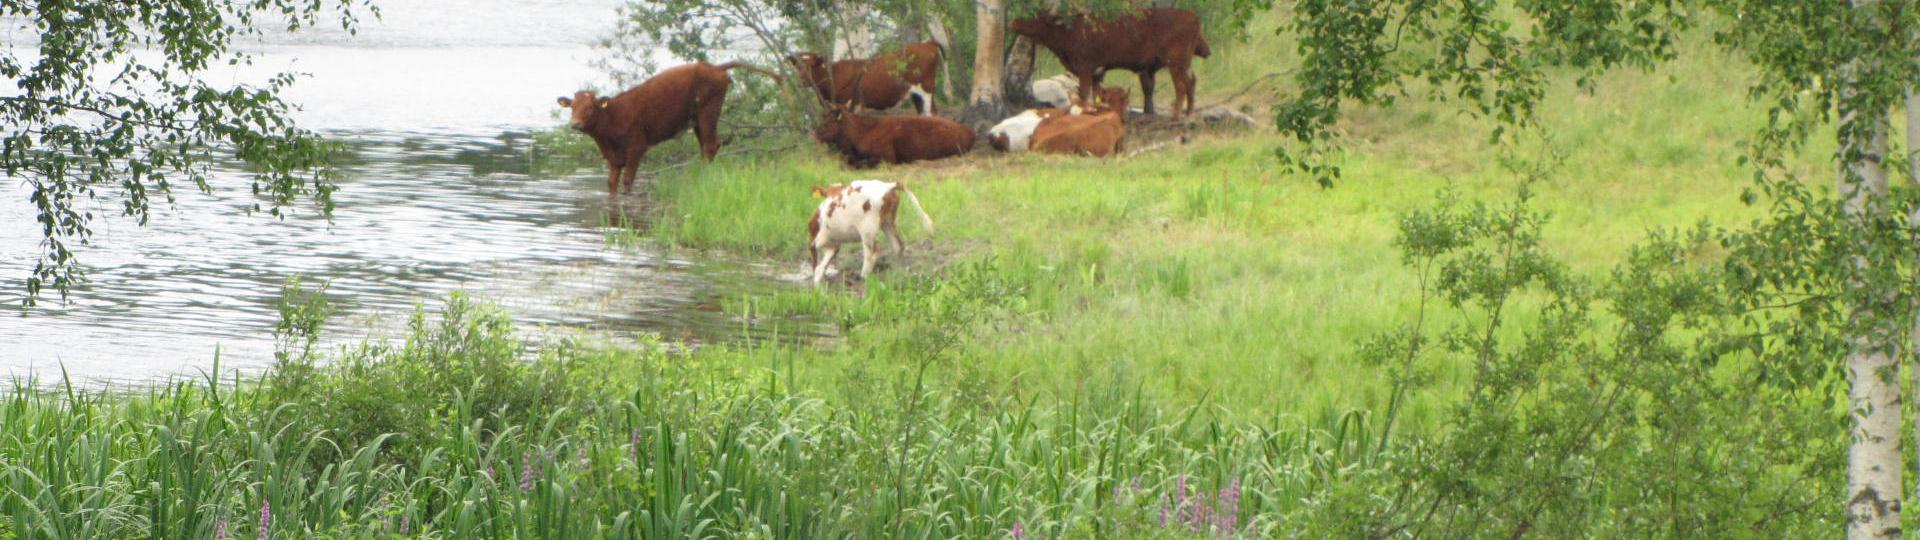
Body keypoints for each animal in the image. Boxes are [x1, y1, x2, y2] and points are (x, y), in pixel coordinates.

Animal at [556, 60, 779, 193]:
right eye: (572, 107)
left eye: (590, 108)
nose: (575, 124)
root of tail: (713, 67)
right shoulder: (613, 158)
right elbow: (611, 184)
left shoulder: (636, 147)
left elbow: (628, 181)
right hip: (698, 120)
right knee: (709, 145)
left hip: (708, 113)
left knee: (710, 145)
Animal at [787, 40, 944, 114]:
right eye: (798, 66)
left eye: (812, 65)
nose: (801, 82)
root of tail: (926, 44)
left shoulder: (846, 105)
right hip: (915, 94)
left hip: (926, 90)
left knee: (931, 113)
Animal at [1013, 8, 1205, 118]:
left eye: (1037, 16)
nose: (1014, 22)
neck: (1069, 31)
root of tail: (1194, 17)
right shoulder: (1096, 72)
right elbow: (1097, 93)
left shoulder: (1085, 67)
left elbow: (1084, 94)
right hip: (1183, 63)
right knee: (1191, 82)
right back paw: (1189, 112)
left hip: (1176, 62)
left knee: (1181, 86)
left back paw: (1177, 115)